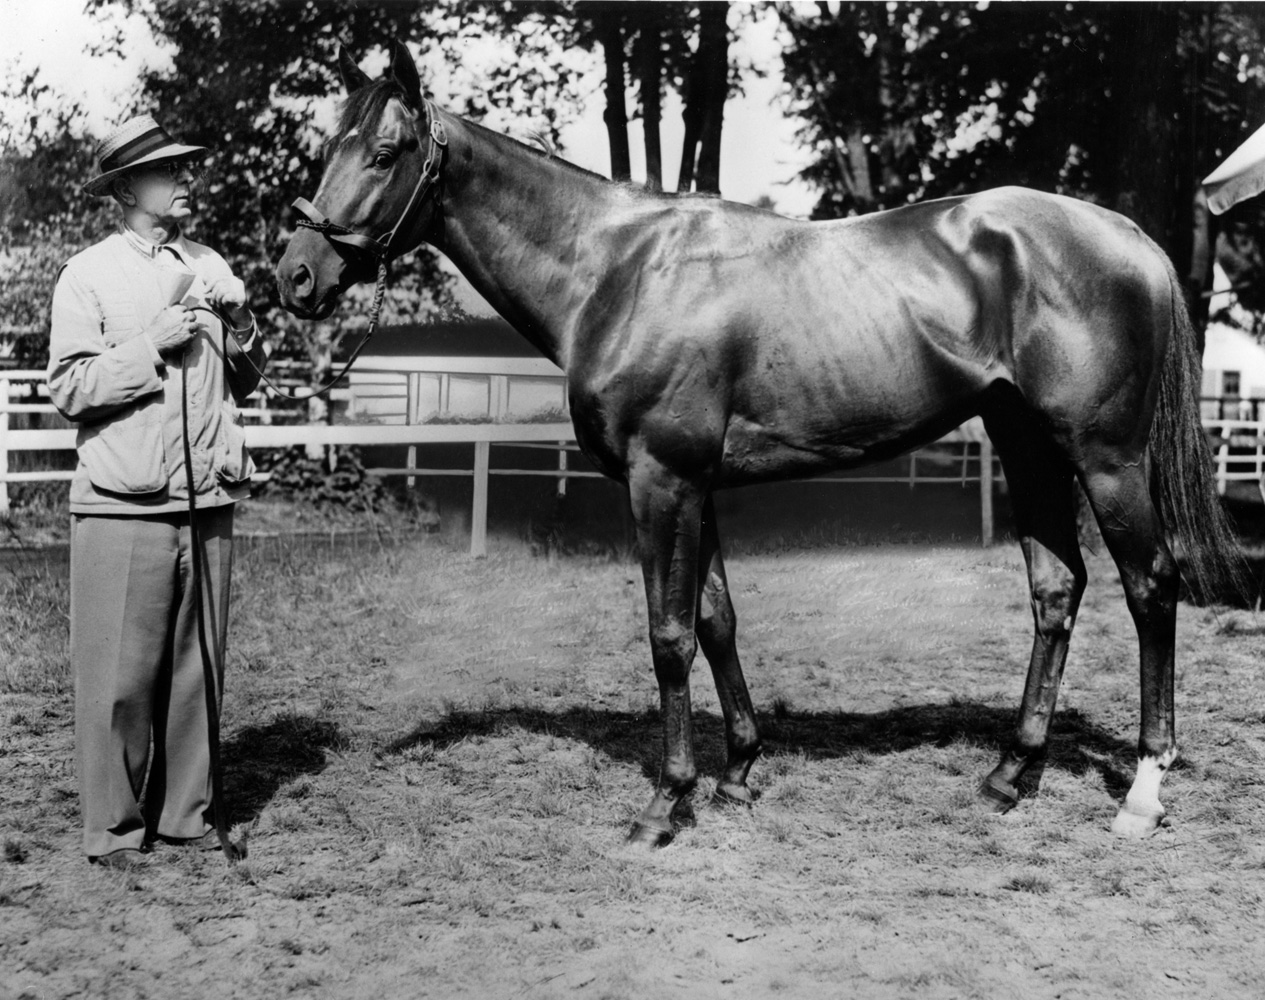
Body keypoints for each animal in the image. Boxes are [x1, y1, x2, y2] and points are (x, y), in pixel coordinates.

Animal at [274, 42, 1244, 849]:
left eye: (385, 153)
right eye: (328, 148)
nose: (295, 277)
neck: (615, 271)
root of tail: (1126, 238)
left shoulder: (659, 481)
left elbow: (667, 634)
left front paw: (666, 801)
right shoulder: (695, 485)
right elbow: (716, 619)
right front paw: (737, 772)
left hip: (1105, 461)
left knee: (1149, 587)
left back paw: (1141, 792)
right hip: (1027, 449)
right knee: (1056, 589)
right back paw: (1011, 774)